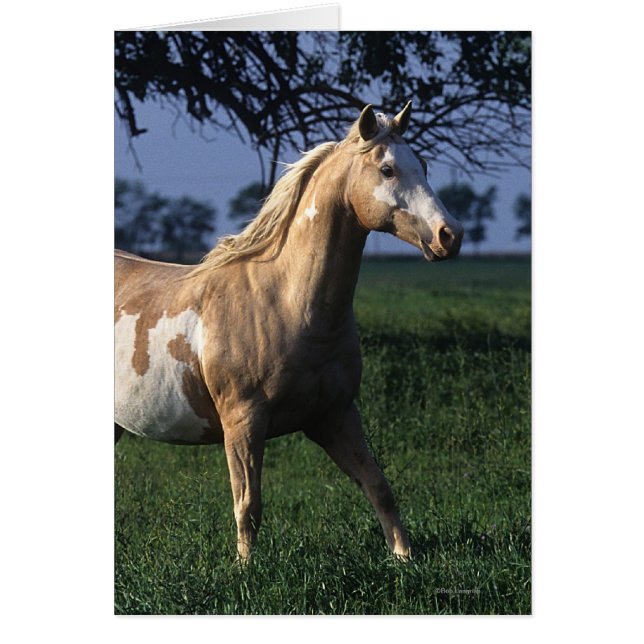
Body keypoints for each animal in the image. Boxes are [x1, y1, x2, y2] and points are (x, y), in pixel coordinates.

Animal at [115, 102, 464, 560]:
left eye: (422, 165)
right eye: (387, 169)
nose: (450, 235)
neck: (286, 304)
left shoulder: (335, 416)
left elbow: (379, 487)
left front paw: (404, 558)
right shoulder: (243, 422)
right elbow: (248, 504)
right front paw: (246, 569)